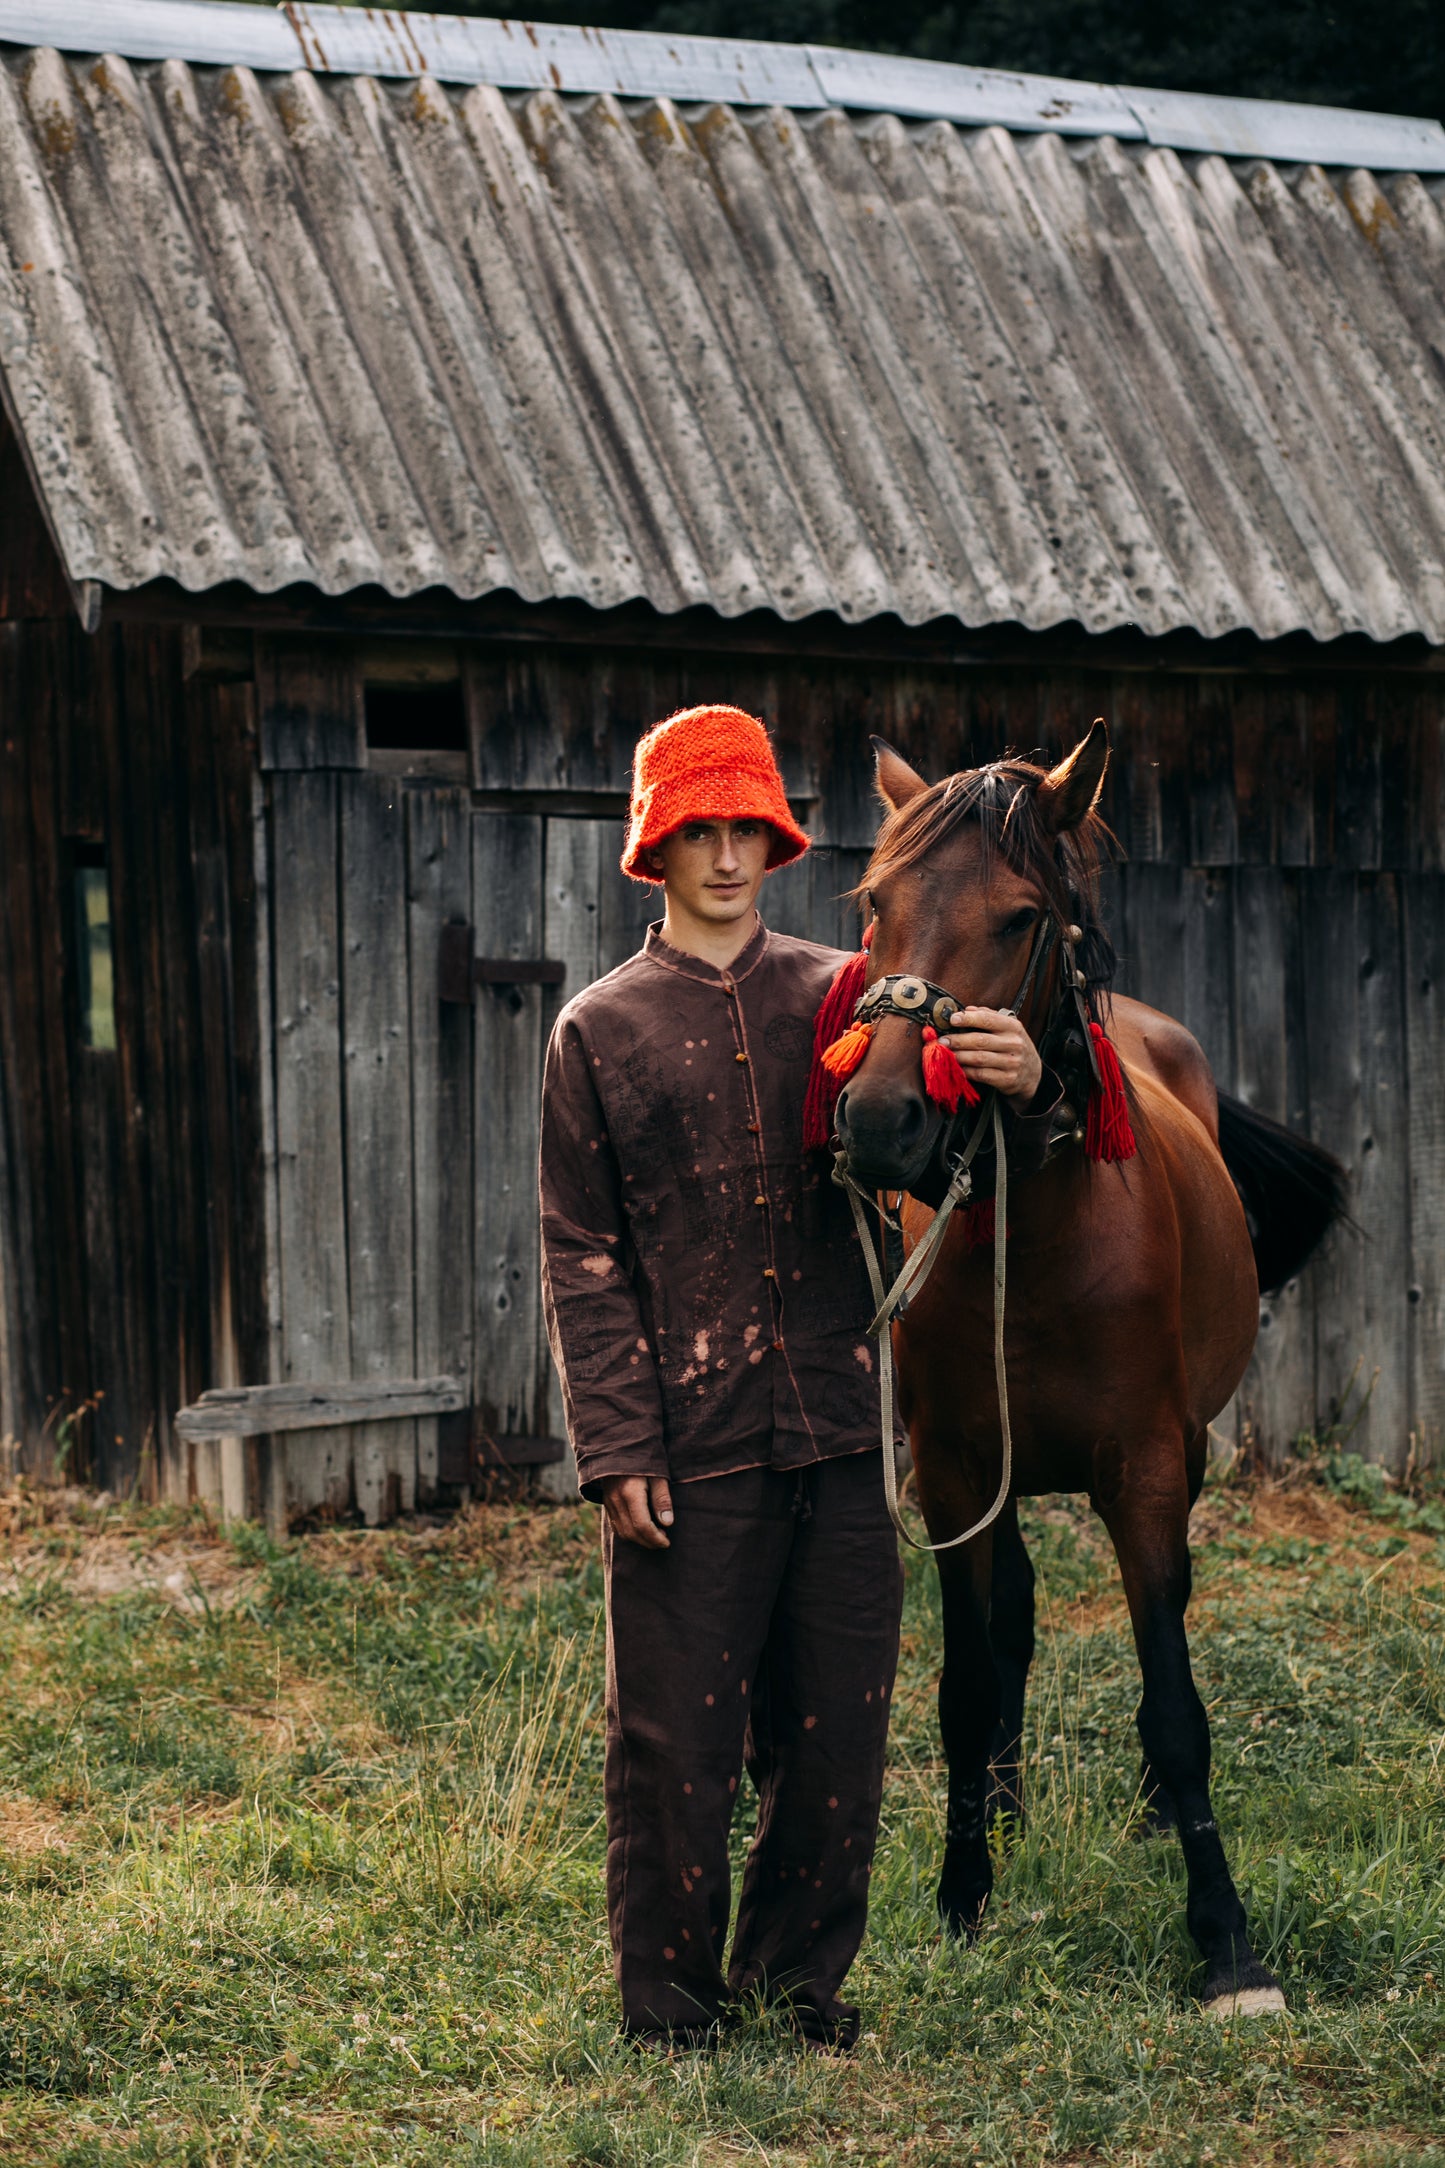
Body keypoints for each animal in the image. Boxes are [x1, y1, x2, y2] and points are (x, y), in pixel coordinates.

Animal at [823, 728, 1343, 2011]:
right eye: (873, 903)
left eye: (1019, 918)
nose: (882, 1121)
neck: (1041, 1230)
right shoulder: (956, 1470)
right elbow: (966, 1682)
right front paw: (963, 1891)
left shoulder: (1145, 1468)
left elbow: (1173, 1700)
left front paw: (1225, 1942)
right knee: (1009, 1619)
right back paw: (1005, 1818)